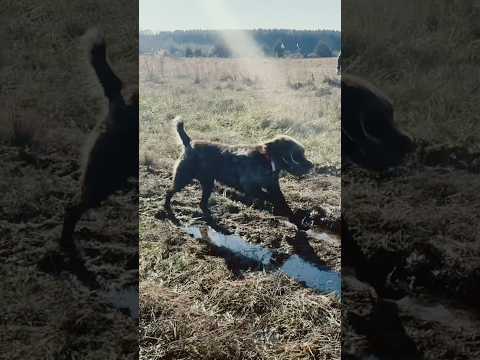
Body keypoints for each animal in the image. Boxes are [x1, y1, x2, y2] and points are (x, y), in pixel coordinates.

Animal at [165, 119, 316, 229]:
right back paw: (167, 209)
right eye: (297, 155)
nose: (311, 165)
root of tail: (189, 143)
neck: (267, 160)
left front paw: (296, 221)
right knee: (169, 192)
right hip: (183, 178)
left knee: (202, 203)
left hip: (208, 183)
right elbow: (271, 198)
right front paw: (277, 210)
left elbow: (283, 202)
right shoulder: (250, 187)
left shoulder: (274, 187)